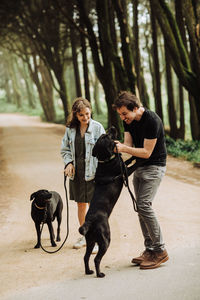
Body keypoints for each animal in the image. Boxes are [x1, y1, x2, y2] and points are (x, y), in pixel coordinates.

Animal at [78, 126, 136, 276]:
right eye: (106, 136)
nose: (113, 127)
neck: (105, 160)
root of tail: (89, 221)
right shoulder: (125, 172)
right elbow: (136, 164)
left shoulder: (123, 165)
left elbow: (129, 159)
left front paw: (134, 154)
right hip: (105, 240)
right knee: (96, 259)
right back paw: (99, 274)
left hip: (91, 241)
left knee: (86, 257)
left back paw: (89, 271)